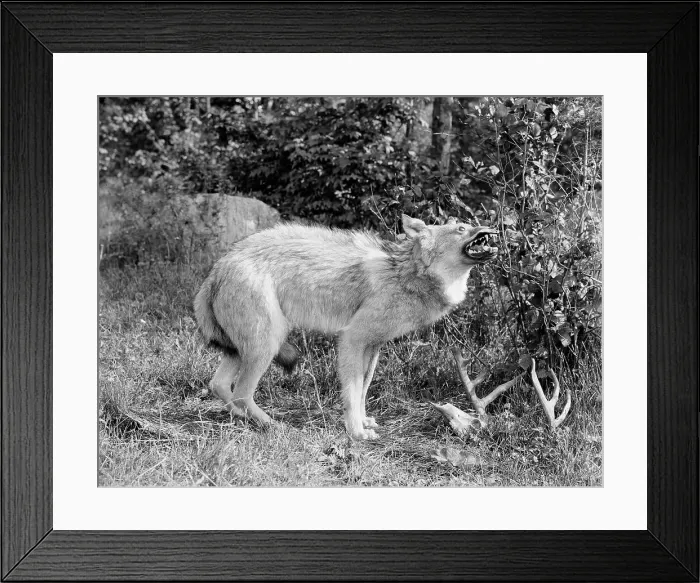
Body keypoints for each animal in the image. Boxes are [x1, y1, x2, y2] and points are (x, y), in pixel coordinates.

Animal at [194, 214, 498, 440]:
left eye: (470, 222)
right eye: (461, 228)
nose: (492, 228)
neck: (406, 275)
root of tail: (217, 268)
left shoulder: (373, 346)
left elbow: (363, 389)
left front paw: (364, 422)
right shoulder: (352, 340)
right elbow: (352, 392)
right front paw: (357, 433)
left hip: (244, 350)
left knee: (219, 385)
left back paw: (242, 419)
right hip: (267, 345)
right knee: (242, 393)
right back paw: (272, 425)